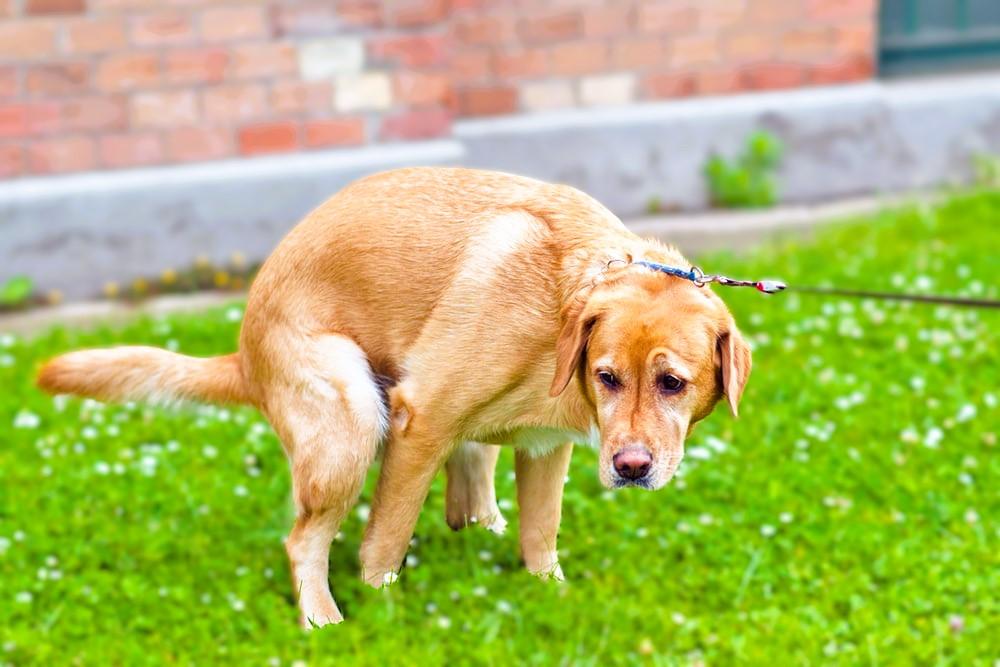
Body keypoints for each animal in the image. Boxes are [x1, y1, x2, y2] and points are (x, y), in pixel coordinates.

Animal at [35, 166, 748, 628]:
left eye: (672, 383)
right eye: (607, 377)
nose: (631, 468)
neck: (563, 304)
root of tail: (245, 353)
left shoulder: (547, 450)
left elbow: (540, 537)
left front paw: (552, 597)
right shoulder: (419, 421)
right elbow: (384, 543)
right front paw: (384, 612)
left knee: (470, 490)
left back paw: (476, 531)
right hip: (351, 422)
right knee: (304, 542)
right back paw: (324, 620)